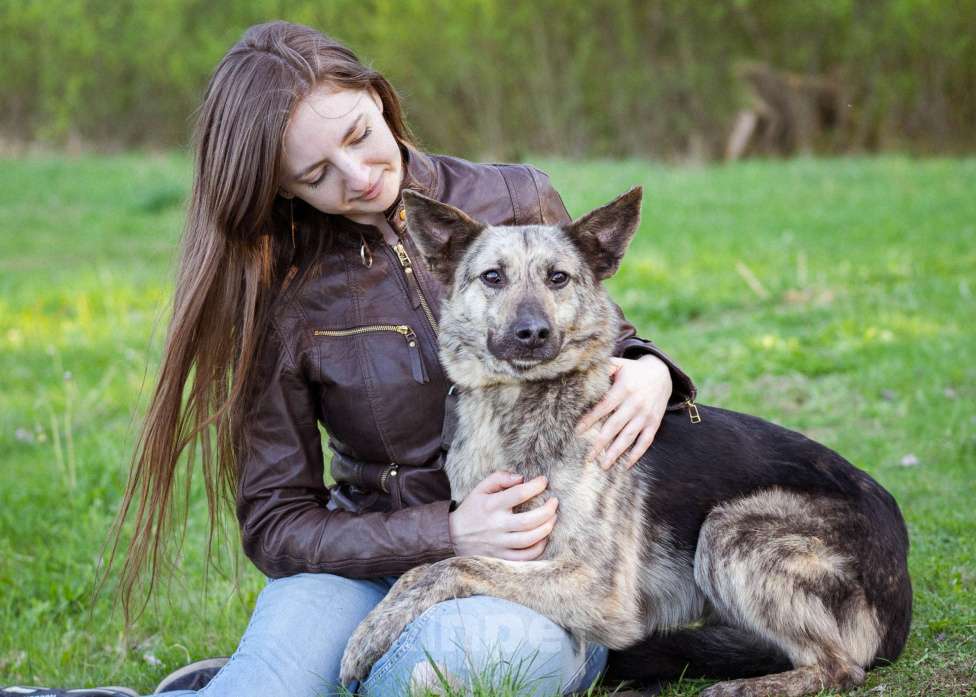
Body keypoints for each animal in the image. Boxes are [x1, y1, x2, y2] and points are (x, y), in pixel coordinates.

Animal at [340, 188, 912, 692]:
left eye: (558, 278)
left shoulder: (597, 587)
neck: (523, 405)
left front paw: (365, 639)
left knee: (839, 667)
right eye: (492, 278)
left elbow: (444, 566)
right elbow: (431, 566)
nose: (532, 333)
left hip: (730, 528)